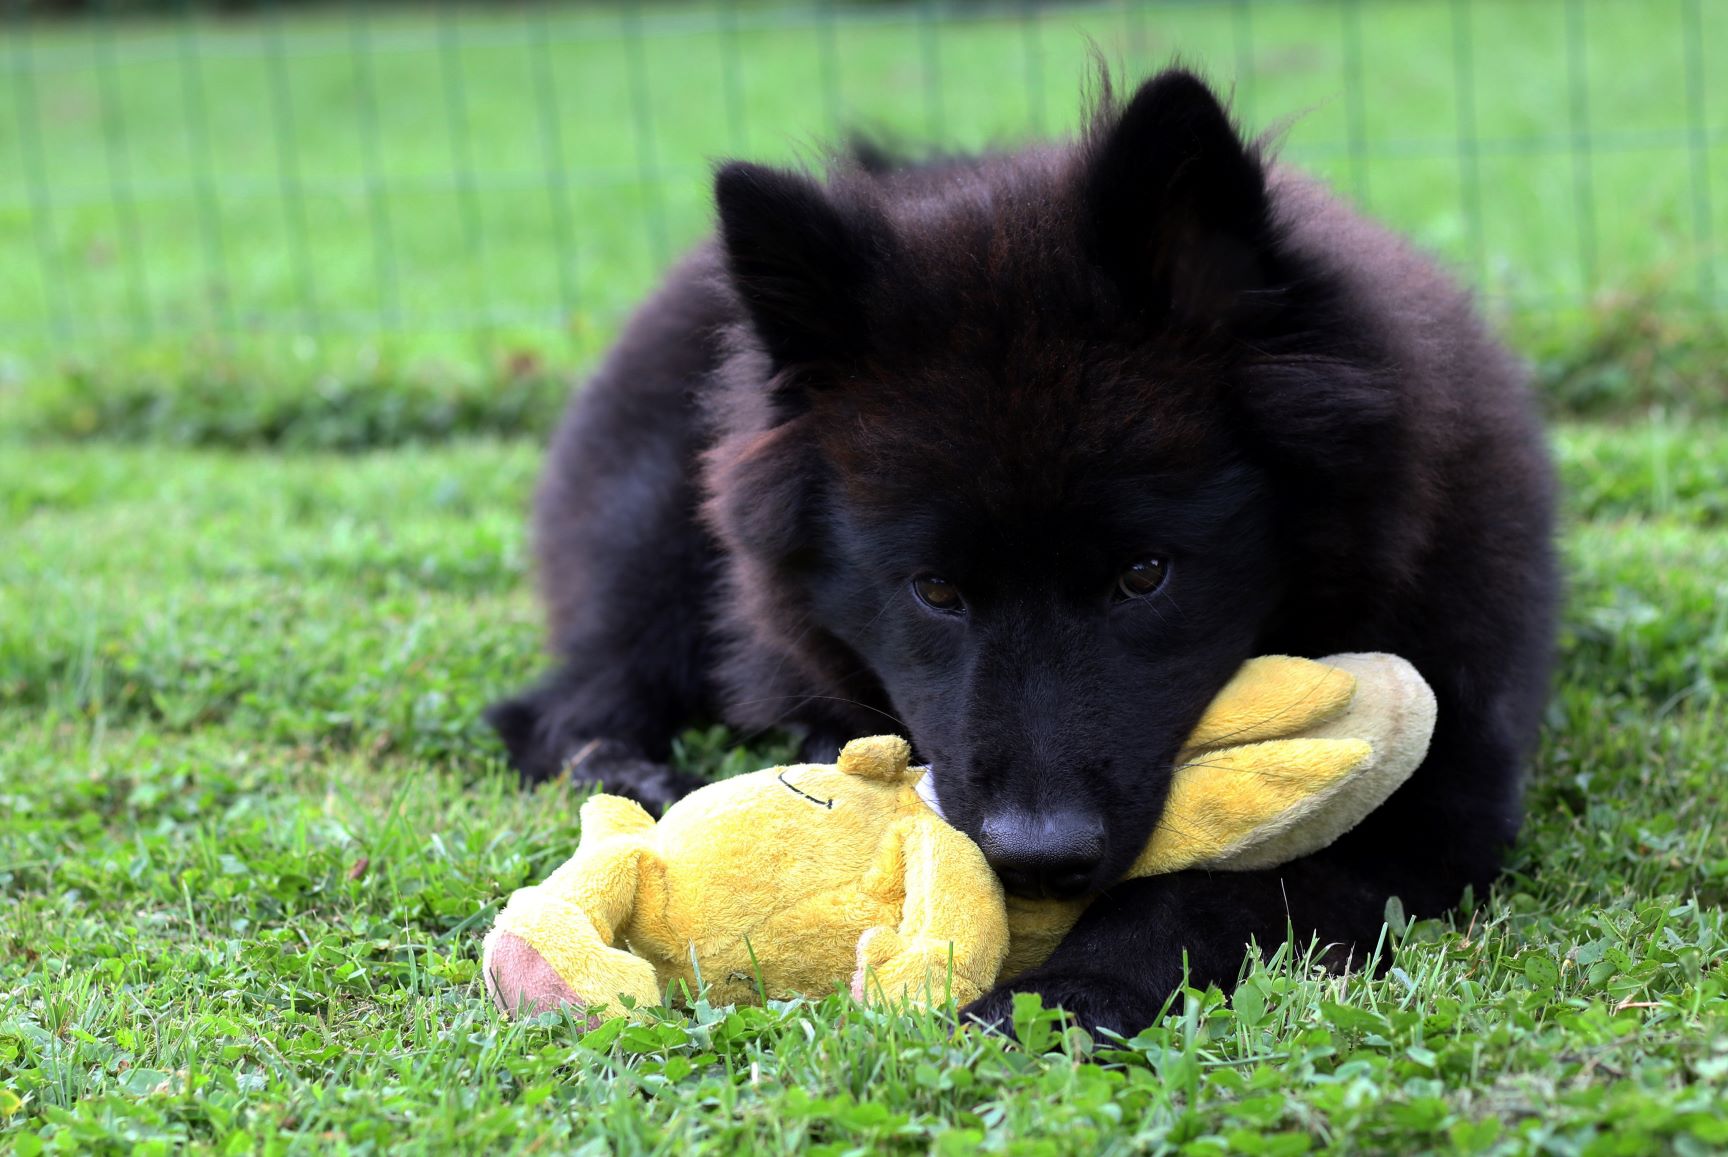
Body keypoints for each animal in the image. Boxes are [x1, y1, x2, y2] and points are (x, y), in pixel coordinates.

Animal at [483, 72, 1555, 1036]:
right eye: (934, 589)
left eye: (1144, 574)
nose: (1038, 858)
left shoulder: (1437, 809)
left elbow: (1214, 888)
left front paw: (1069, 992)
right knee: (562, 700)